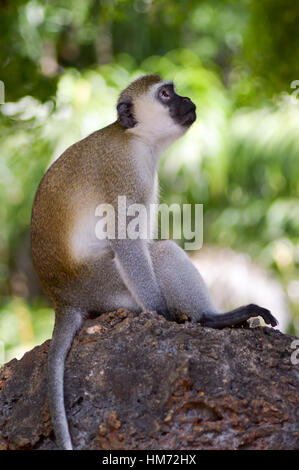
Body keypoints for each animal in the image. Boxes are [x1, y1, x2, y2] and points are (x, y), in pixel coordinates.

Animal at [31, 75, 278, 450]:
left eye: (174, 90)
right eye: (165, 94)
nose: (186, 99)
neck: (136, 139)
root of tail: (62, 298)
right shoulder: (126, 173)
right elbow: (129, 243)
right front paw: (163, 314)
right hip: (103, 284)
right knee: (161, 255)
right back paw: (210, 319)